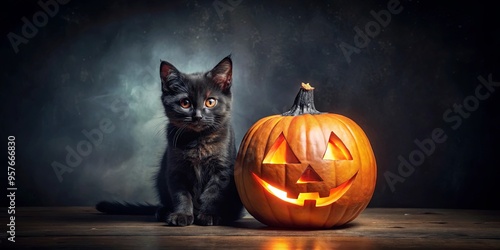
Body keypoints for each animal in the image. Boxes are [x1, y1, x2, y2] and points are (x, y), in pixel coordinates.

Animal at [96, 55, 244, 226]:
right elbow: (181, 195)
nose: (198, 116)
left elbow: (213, 193)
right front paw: (181, 215)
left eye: (210, 101)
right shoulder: (175, 169)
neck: (197, 140)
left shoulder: (222, 170)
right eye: (185, 103)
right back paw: (163, 211)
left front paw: (209, 215)